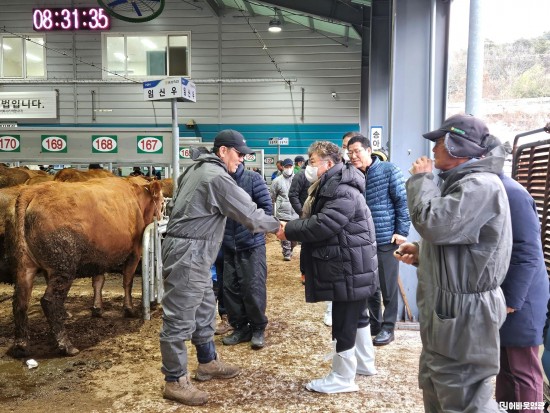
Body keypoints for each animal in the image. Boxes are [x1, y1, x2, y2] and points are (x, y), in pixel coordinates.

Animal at [9, 179, 164, 356]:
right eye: (162, 202)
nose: (162, 216)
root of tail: (33, 191)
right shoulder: (135, 253)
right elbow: (127, 282)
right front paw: (129, 309)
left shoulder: (101, 256)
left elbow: (98, 282)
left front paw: (97, 309)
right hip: (64, 267)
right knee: (49, 301)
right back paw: (66, 345)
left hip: (26, 265)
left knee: (20, 300)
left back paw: (21, 345)